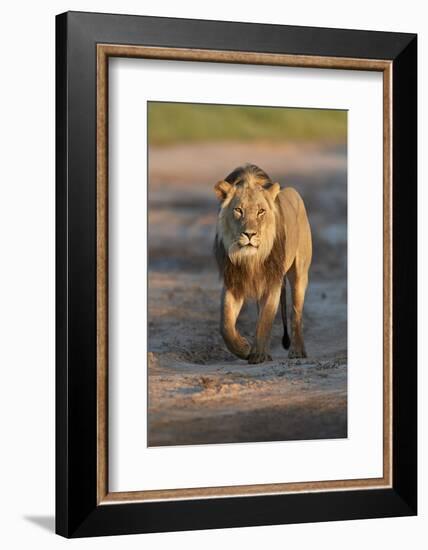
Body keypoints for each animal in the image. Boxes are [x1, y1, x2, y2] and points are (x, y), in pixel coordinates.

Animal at [213, 164, 310, 366]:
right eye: (238, 210)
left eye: (260, 211)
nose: (249, 234)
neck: (251, 258)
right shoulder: (233, 282)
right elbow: (225, 325)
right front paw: (243, 348)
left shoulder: (273, 282)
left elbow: (266, 319)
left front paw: (257, 355)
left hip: (300, 273)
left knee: (296, 312)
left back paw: (297, 351)